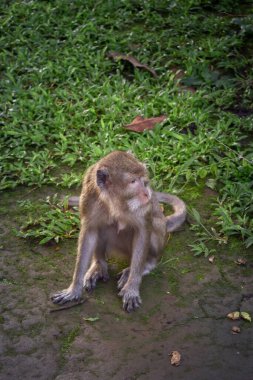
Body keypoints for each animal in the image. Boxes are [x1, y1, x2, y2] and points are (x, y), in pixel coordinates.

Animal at [51, 151, 186, 312]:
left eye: (144, 181)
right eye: (133, 181)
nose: (147, 193)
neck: (114, 200)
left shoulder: (142, 208)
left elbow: (143, 231)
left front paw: (131, 288)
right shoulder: (89, 197)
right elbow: (90, 231)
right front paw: (73, 290)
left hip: (158, 233)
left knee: (152, 227)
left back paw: (143, 266)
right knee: (103, 227)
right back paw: (98, 265)